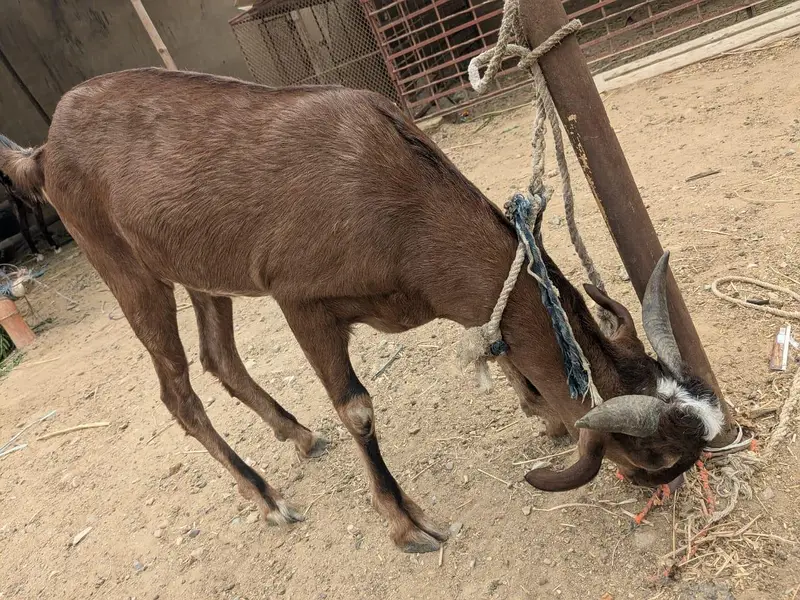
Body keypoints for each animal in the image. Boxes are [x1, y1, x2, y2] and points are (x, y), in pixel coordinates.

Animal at [0, 68, 725, 553]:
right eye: (654, 454)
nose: (664, 487)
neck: (403, 207)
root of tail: (43, 152)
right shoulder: (300, 299)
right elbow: (357, 408)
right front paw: (409, 523)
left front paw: (537, 410)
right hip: (120, 263)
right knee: (178, 390)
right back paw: (268, 498)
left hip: (198, 267)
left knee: (220, 358)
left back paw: (297, 435)